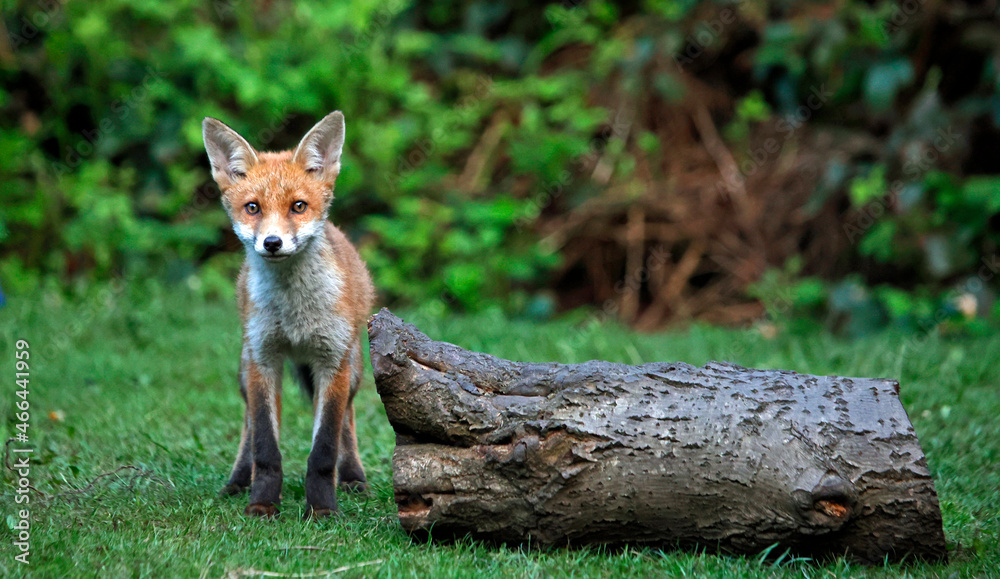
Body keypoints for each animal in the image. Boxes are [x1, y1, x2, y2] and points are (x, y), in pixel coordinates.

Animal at [202, 111, 374, 519]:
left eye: (298, 206)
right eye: (253, 208)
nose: (272, 243)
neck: (295, 315)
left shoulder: (331, 362)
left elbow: (324, 448)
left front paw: (323, 508)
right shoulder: (264, 359)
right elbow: (265, 444)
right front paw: (262, 503)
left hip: (353, 368)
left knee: (348, 421)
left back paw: (353, 477)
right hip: (245, 367)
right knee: (248, 426)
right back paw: (237, 480)